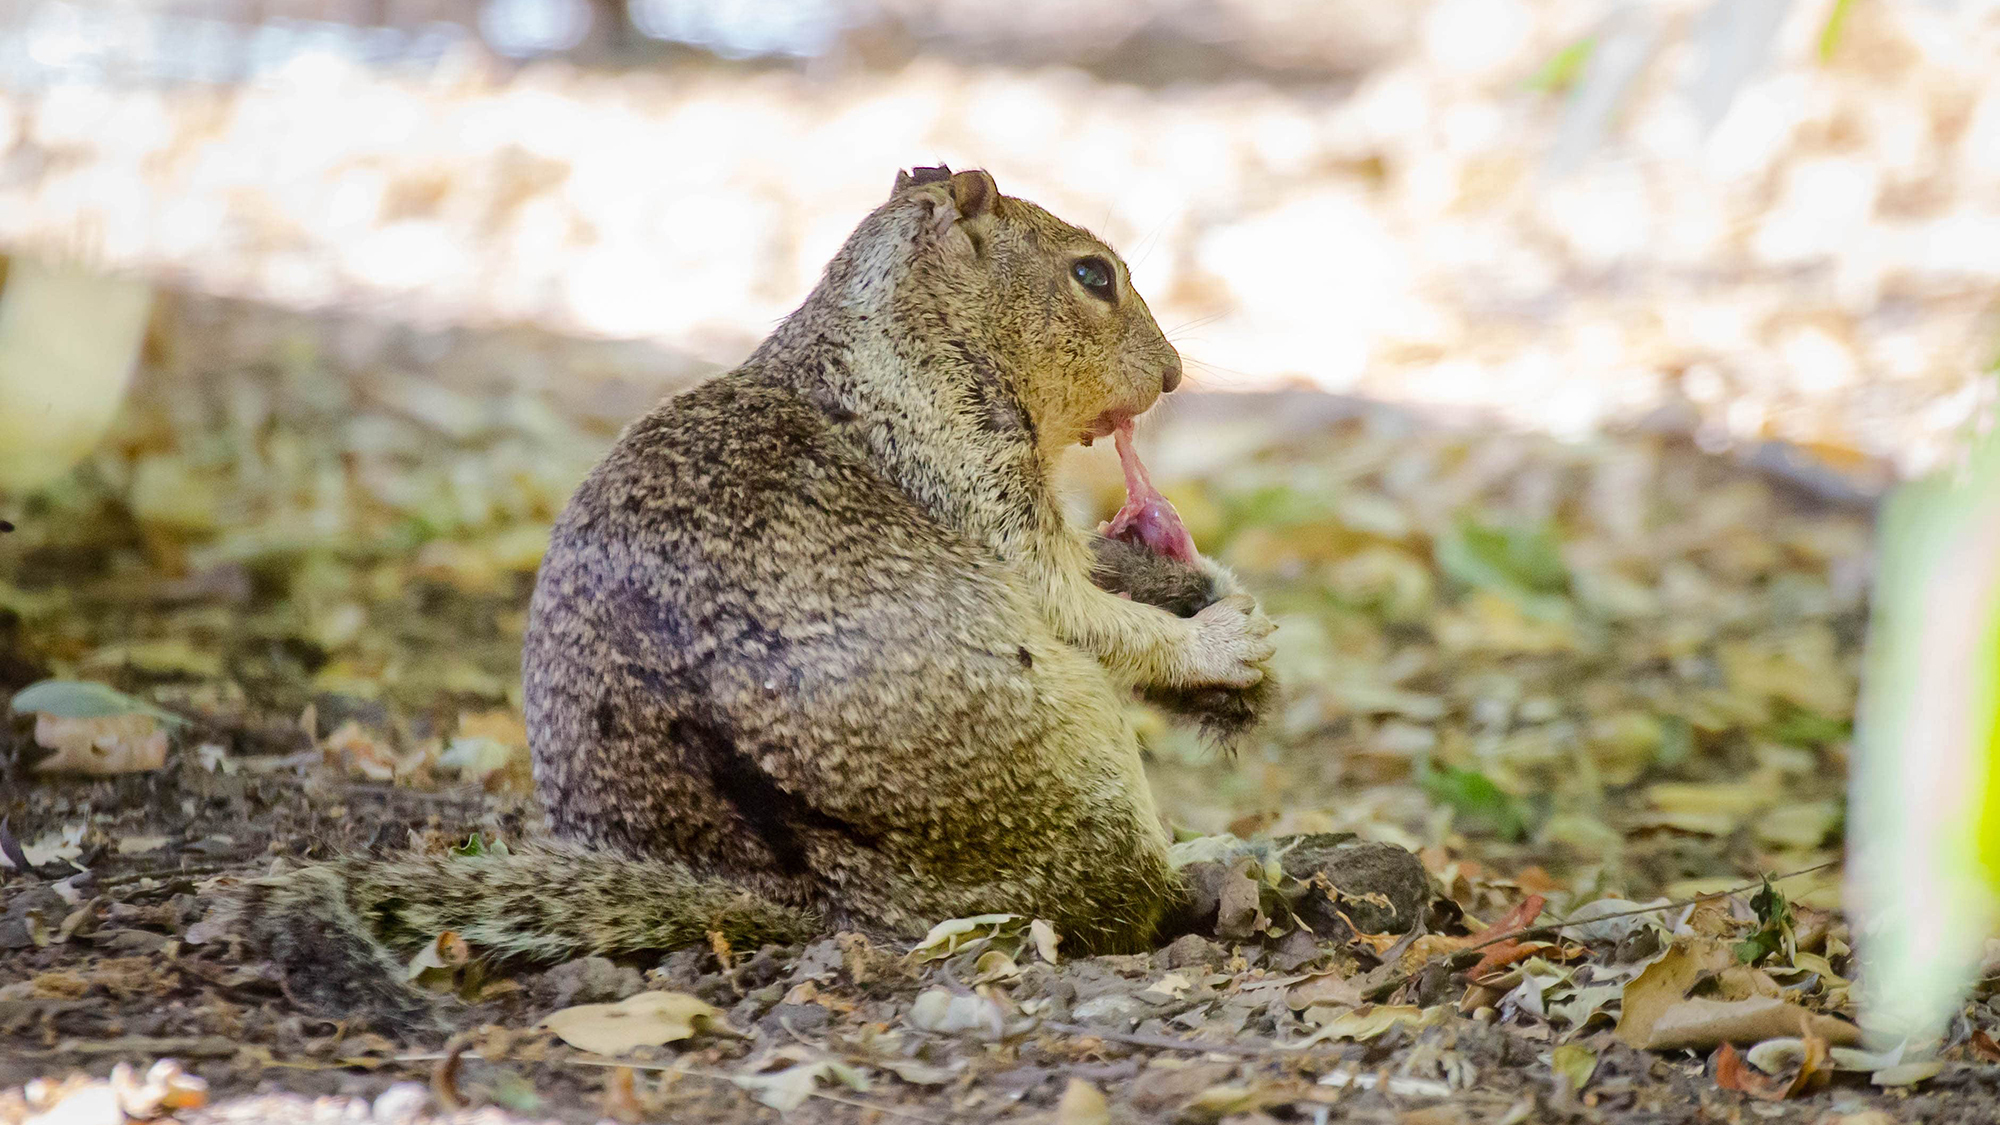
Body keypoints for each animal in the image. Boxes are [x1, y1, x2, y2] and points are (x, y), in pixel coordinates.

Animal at [223, 166, 1280, 1024]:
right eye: (1093, 275)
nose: (1175, 373)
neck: (910, 339)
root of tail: (799, 898)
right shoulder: (969, 475)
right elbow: (1074, 607)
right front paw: (1221, 643)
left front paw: (1191, 587)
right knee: (1112, 904)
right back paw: (1211, 881)